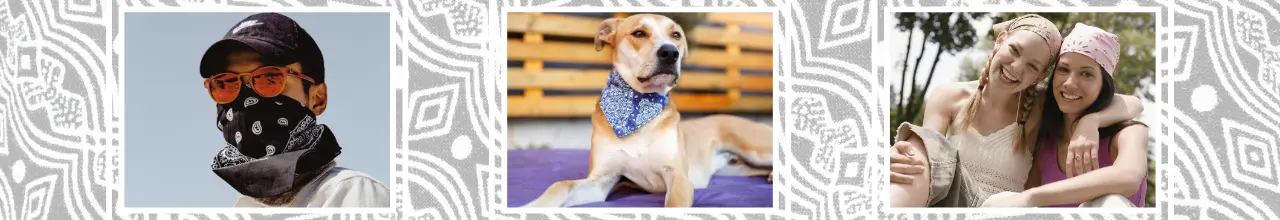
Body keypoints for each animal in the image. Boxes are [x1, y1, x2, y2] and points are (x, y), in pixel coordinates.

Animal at [517, 14, 768, 208]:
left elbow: (674, 205)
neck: (638, 107)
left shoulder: (679, 178)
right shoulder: (601, 180)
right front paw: (533, 206)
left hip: (757, 150)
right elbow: (560, 185)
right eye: (638, 33)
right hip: (738, 170)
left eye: (676, 35)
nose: (670, 53)